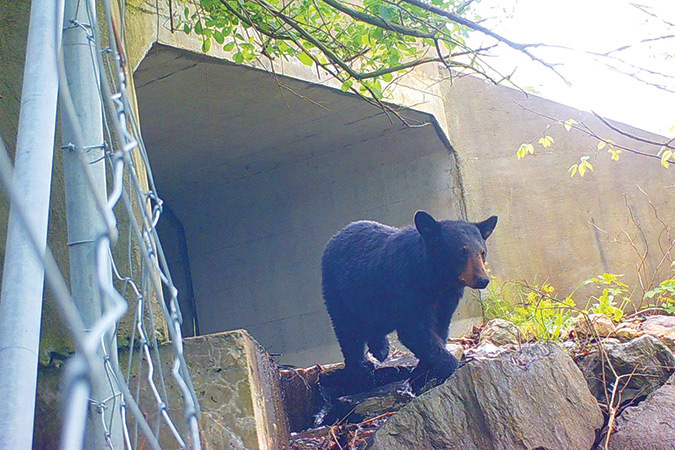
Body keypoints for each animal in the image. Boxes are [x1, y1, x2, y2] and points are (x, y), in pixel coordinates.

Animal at [322, 210, 497, 384]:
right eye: (461, 251)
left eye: (482, 252)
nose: (483, 280)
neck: (436, 280)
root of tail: (335, 237)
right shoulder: (407, 289)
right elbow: (414, 330)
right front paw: (449, 365)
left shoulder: (448, 298)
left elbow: (439, 327)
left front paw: (425, 367)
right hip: (338, 291)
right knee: (347, 331)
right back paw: (361, 367)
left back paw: (380, 349)